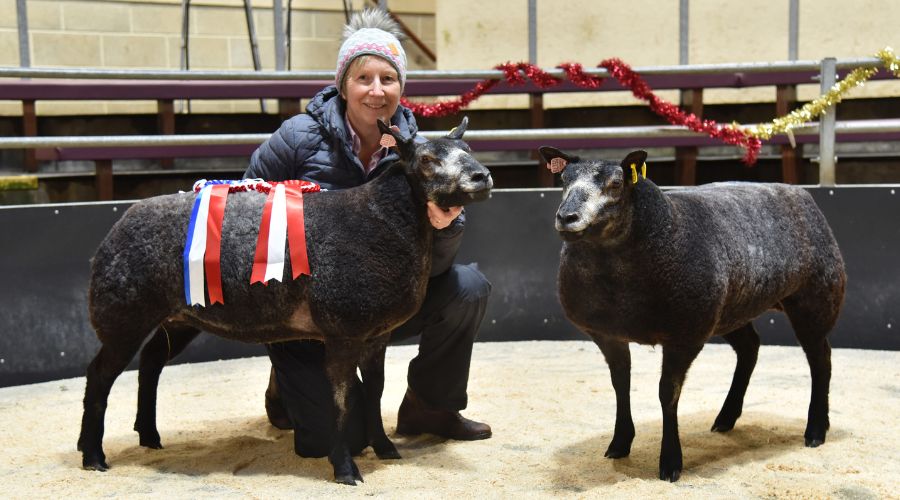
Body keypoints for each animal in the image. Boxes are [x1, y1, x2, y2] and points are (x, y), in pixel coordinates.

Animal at [78, 117, 496, 484]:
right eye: (426, 160)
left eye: (468, 150)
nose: (482, 177)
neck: (383, 222)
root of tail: (119, 225)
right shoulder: (343, 332)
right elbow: (342, 402)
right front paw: (345, 469)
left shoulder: (376, 335)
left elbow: (375, 392)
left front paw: (385, 448)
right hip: (123, 315)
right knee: (99, 376)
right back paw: (92, 454)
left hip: (177, 318)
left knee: (150, 365)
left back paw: (149, 437)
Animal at [536, 147, 848, 480]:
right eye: (563, 180)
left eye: (616, 184)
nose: (567, 217)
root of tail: (798, 192)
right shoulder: (608, 334)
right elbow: (621, 385)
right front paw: (619, 443)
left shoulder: (684, 335)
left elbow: (667, 393)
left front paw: (671, 462)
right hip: (731, 309)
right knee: (750, 348)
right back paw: (726, 417)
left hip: (814, 299)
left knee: (821, 359)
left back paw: (816, 429)